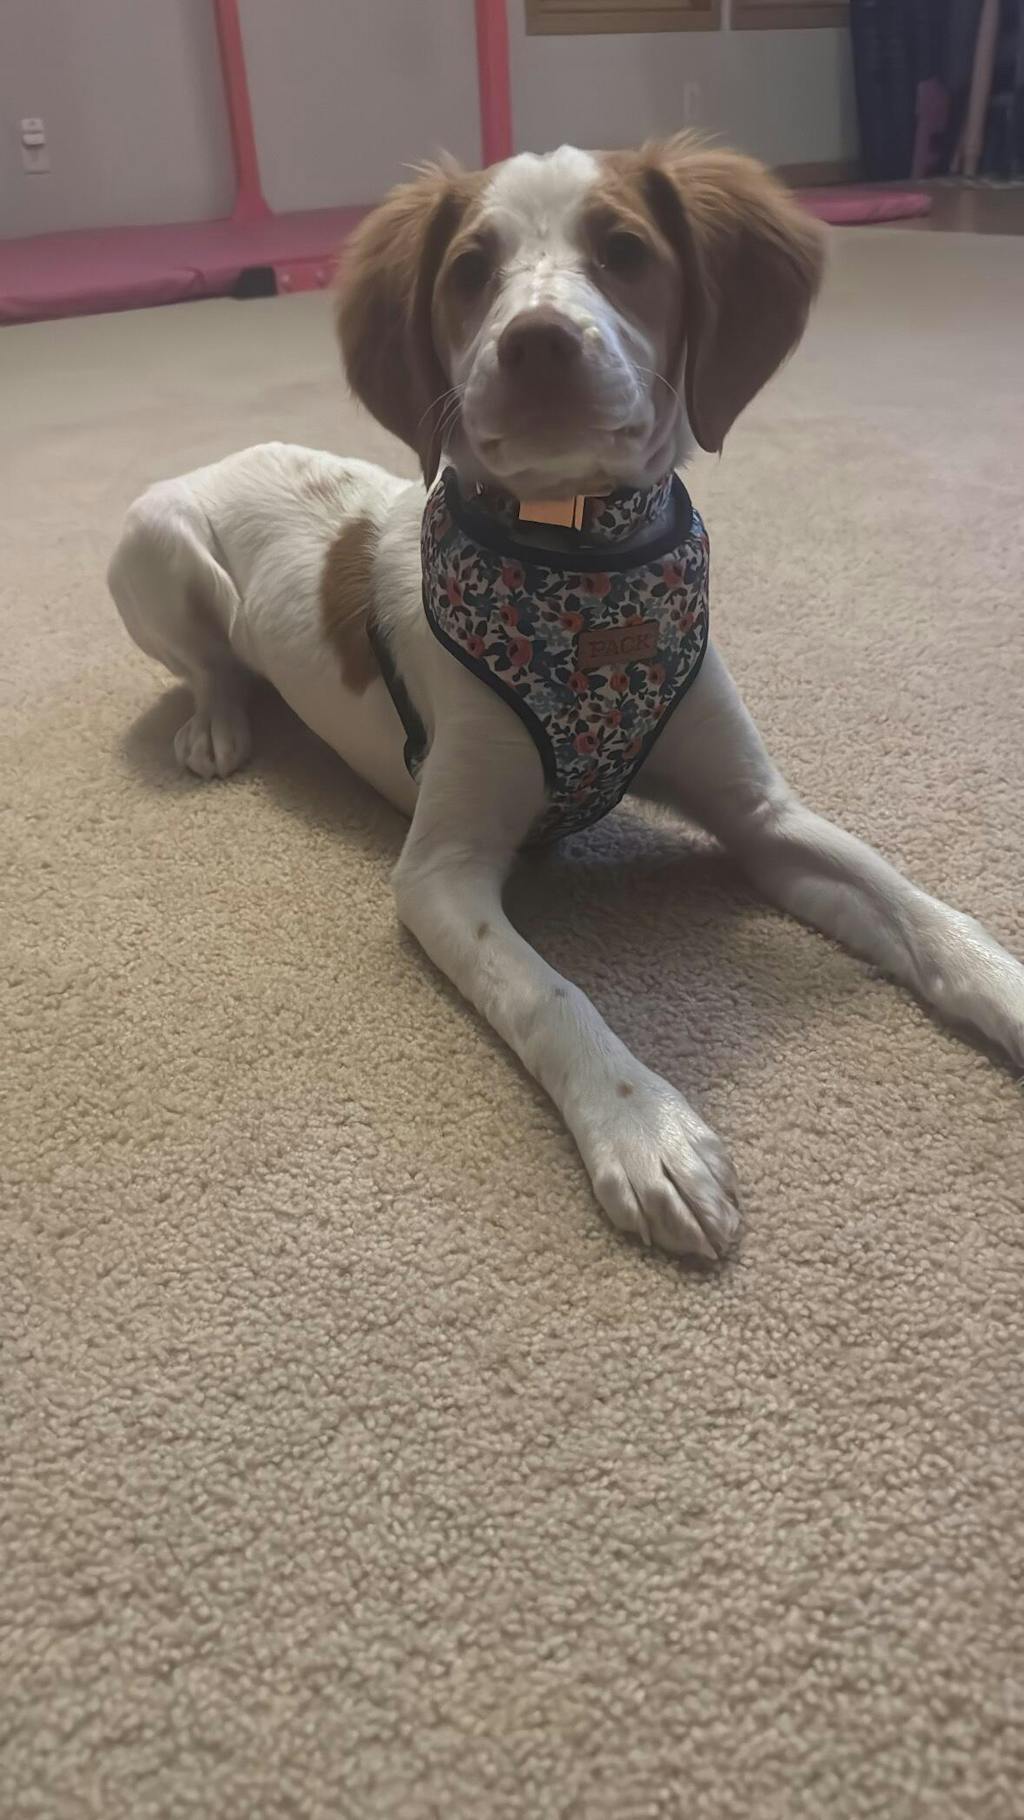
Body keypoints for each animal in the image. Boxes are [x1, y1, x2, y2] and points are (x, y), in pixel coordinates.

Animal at [109, 138, 1024, 1259]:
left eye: (624, 250)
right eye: (469, 270)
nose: (537, 342)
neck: (584, 576)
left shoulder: (762, 815)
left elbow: (916, 903)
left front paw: (1004, 987)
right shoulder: (442, 872)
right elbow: (551, 994)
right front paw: (644, 1129)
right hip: (156, 546)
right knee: (208, 663)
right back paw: (217, 721)